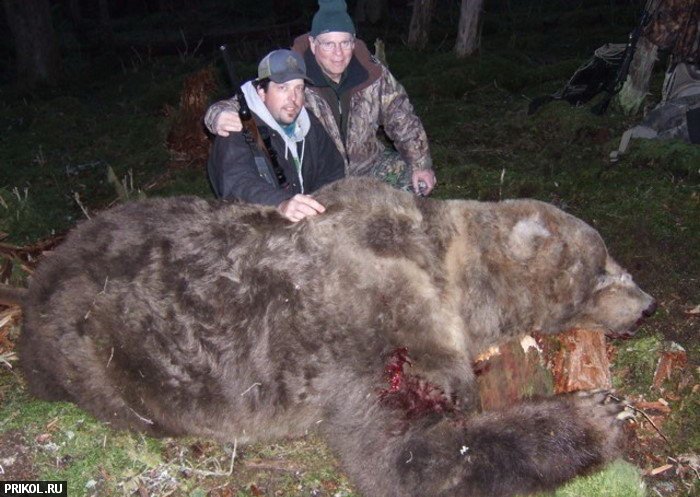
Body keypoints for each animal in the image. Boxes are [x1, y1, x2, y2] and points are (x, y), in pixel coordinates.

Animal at [10, 177, 655, 497]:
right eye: (602, 268)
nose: (648, 303)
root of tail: (39, 277)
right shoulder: (379, 313)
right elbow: (406, 455)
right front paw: (598, 412)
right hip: (91, 344)